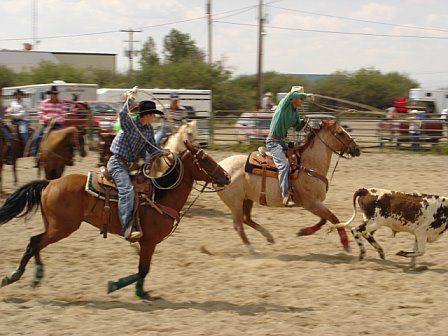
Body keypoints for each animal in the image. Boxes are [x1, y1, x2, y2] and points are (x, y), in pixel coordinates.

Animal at [0, 140, 231, 300]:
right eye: (205, 159)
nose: (227, 177)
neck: (161, 195)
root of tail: (50, 182)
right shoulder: (148, 242)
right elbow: (143, 270)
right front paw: (116, 285)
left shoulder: (148, 243)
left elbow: (143, 270)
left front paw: (141, 292)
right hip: (62, 228)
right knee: (34, 242)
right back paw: (14, 276)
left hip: (53, 226)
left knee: (36, 243)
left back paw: (35, 276)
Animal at [217, 119, 360, 253]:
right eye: (340, 132)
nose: (357, 149)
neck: (310, 166)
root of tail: (220, 166)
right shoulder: (311, 203)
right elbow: (333, 218)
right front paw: (345, 244)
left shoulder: (315, 204)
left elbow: (324, 219)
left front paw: (303, 231)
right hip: (235, 202)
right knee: (239, 225)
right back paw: (252, 249)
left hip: (247, 199)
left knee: (247, 219)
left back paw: (269, 237)